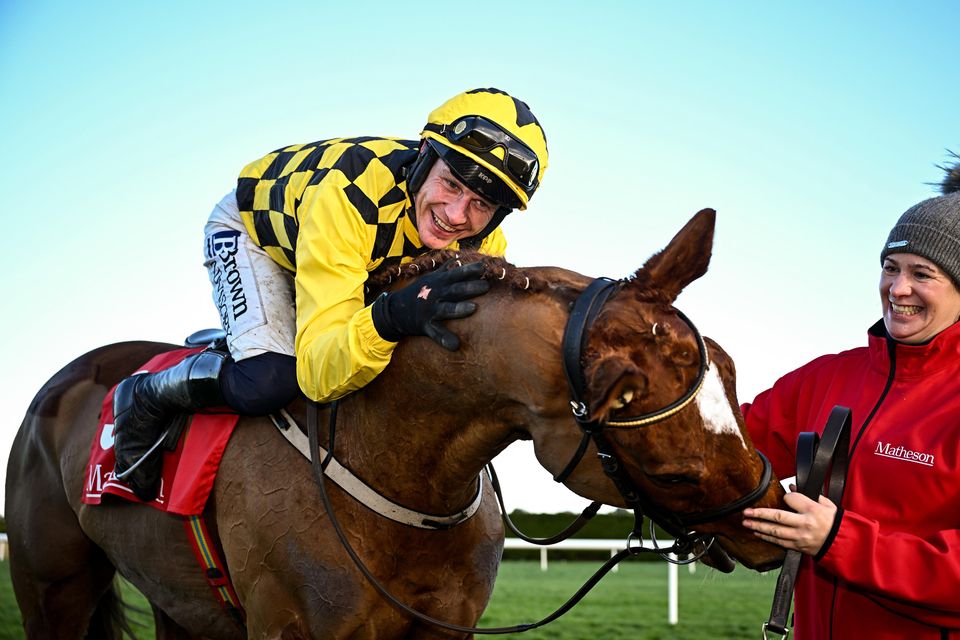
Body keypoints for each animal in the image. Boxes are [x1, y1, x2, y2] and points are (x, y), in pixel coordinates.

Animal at [5, 208, 788, 636]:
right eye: (676, 473)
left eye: (733, 379)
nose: (774, 526)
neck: (401, 470)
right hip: (52, 586)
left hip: (178, 599)